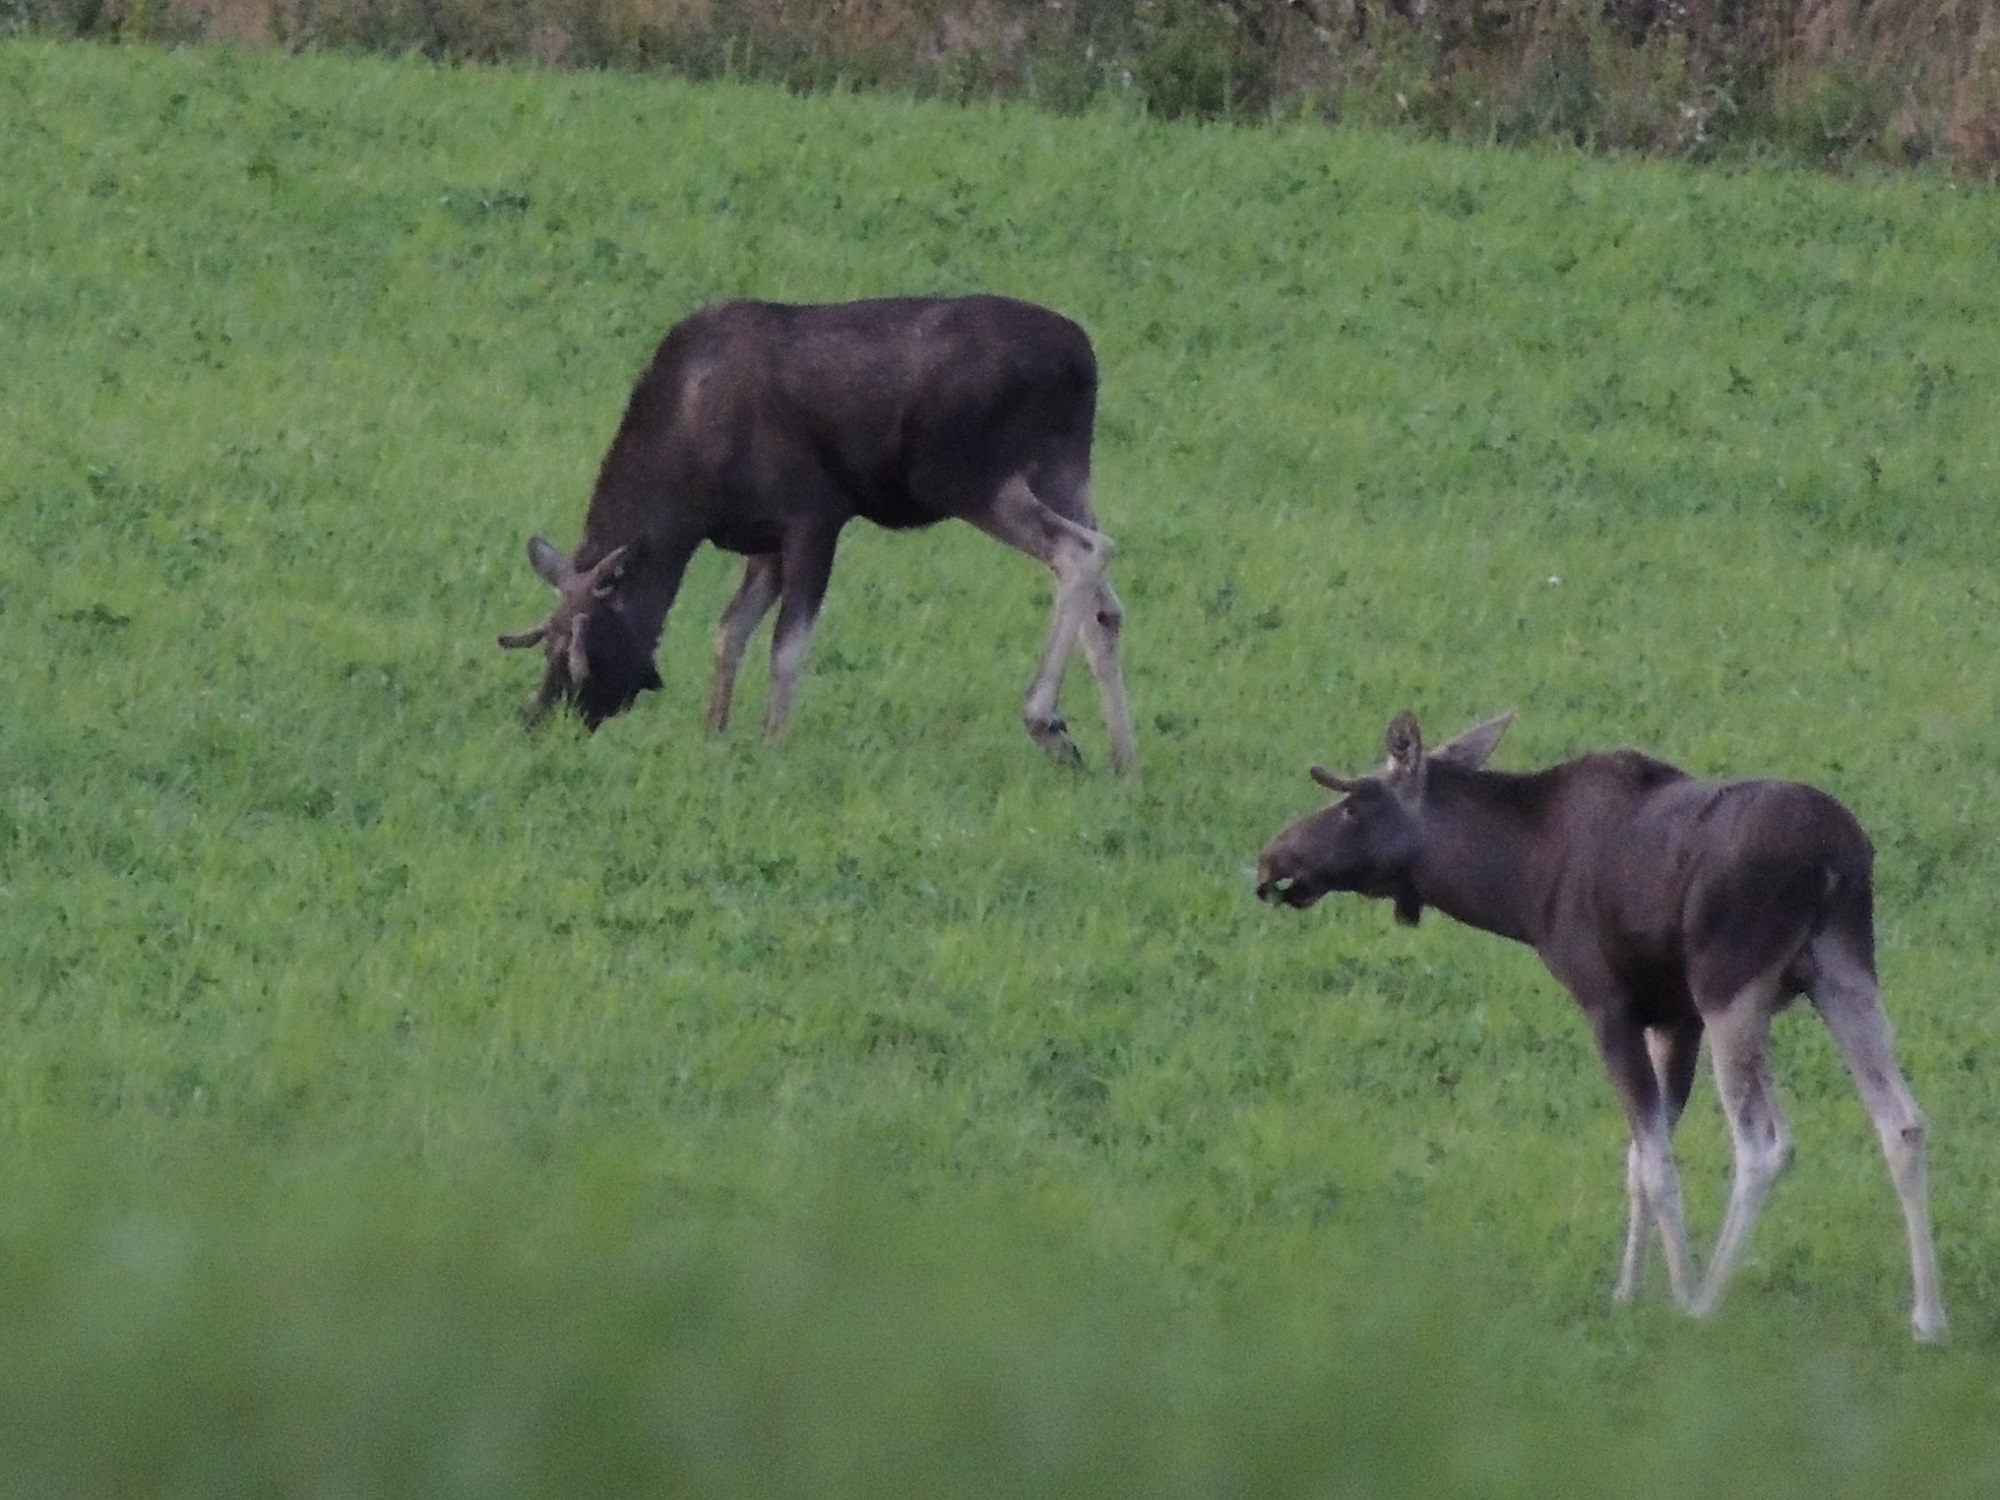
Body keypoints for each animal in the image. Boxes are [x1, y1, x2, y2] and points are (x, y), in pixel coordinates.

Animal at [498, 296, 1136, 776]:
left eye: (581, 652)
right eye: (548, 642)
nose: (540, 721)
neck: (688, 497)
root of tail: (1084, 361)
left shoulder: (814, 517)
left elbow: (787, 647)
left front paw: (771, 746)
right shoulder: (763, 543)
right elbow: (729, 634)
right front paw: (715, 735)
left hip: (974, 478)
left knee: (1082, 553)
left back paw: (1046, 721)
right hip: (1062, 471)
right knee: (1106, 604)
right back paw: (1123, 761)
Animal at [1256, 712, 1944, 1344]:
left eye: (1352, 804)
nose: (1271, 859)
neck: (1518, 886)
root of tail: (1838, 858)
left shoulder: (1611, 1006)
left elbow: (1658, 1163)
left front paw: (1678, 1293)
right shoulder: (1675, 1017)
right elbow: (1637, 1159)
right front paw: (1625, 1292)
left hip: (1732, 989)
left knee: (1764, 1146)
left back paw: (1707, 1303)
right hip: (1842, 972)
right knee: (1902, 1121)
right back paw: (1929, 1318)